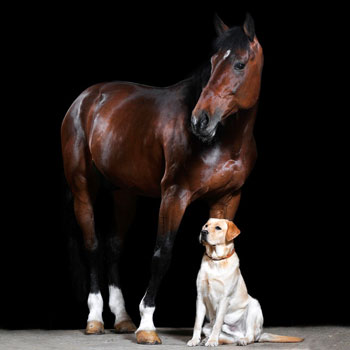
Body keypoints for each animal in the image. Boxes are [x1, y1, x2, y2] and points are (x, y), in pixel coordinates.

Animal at [60, 13, 262, 344]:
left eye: (240, 64)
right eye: (212, 61)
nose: (200, 120)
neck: (224, 140)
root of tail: (85, 99)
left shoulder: (228, 199)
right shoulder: (174, 196)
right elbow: (161, 254)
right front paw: (147, 325)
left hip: (124, 193)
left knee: (113, 246)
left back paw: (123, 318)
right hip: (82, 191)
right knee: (92, 246)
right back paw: (95, 318)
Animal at [186, 217, 304, 346]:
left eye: (218, 228)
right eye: (206, 226)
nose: (203, 232)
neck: (216, 261)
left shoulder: (224, 299)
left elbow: (217, 324)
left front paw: (212, 341)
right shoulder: (200, 297)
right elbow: (197, 323)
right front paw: (195, 340)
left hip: (253, 306)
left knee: (250, 336)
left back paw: (241, 340)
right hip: (208, 327)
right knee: (228, 338)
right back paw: (208, 340)